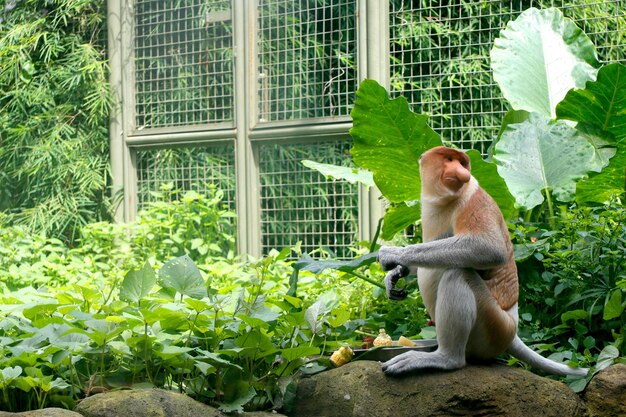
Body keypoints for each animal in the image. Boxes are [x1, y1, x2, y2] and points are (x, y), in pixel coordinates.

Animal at [378, 146, 588, 376]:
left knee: (458, 273)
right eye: (449, 159)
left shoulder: (474, 201)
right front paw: (394, 276)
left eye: (462, 162)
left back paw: (444, 358)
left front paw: (391, 254)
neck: (442, 201)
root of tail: (512, 329)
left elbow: (489, 248)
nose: (463, 173)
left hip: (494, 326)